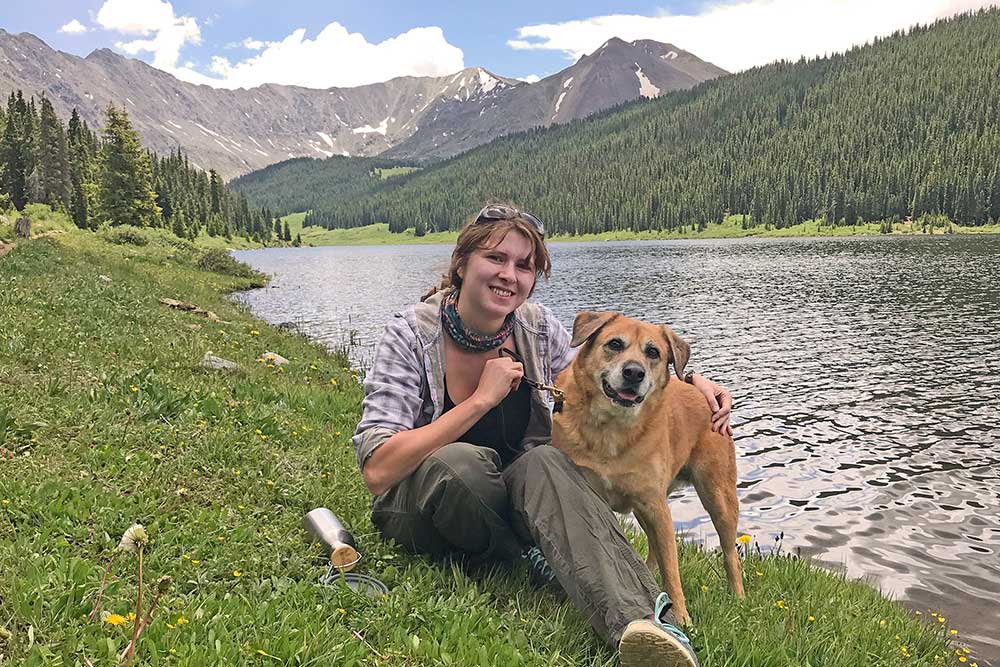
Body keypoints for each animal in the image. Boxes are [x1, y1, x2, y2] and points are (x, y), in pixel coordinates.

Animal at [552, 312, 748, 628]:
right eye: (615, 344)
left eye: (653, 352)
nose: (634, 372)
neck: (612, 431)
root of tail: (705, 394)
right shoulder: (596, 499)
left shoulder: (656, 508)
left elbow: (672, 569)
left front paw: (681, 617)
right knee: (655, 547)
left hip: (718, 497)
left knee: (730, 553)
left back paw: (738, 597)